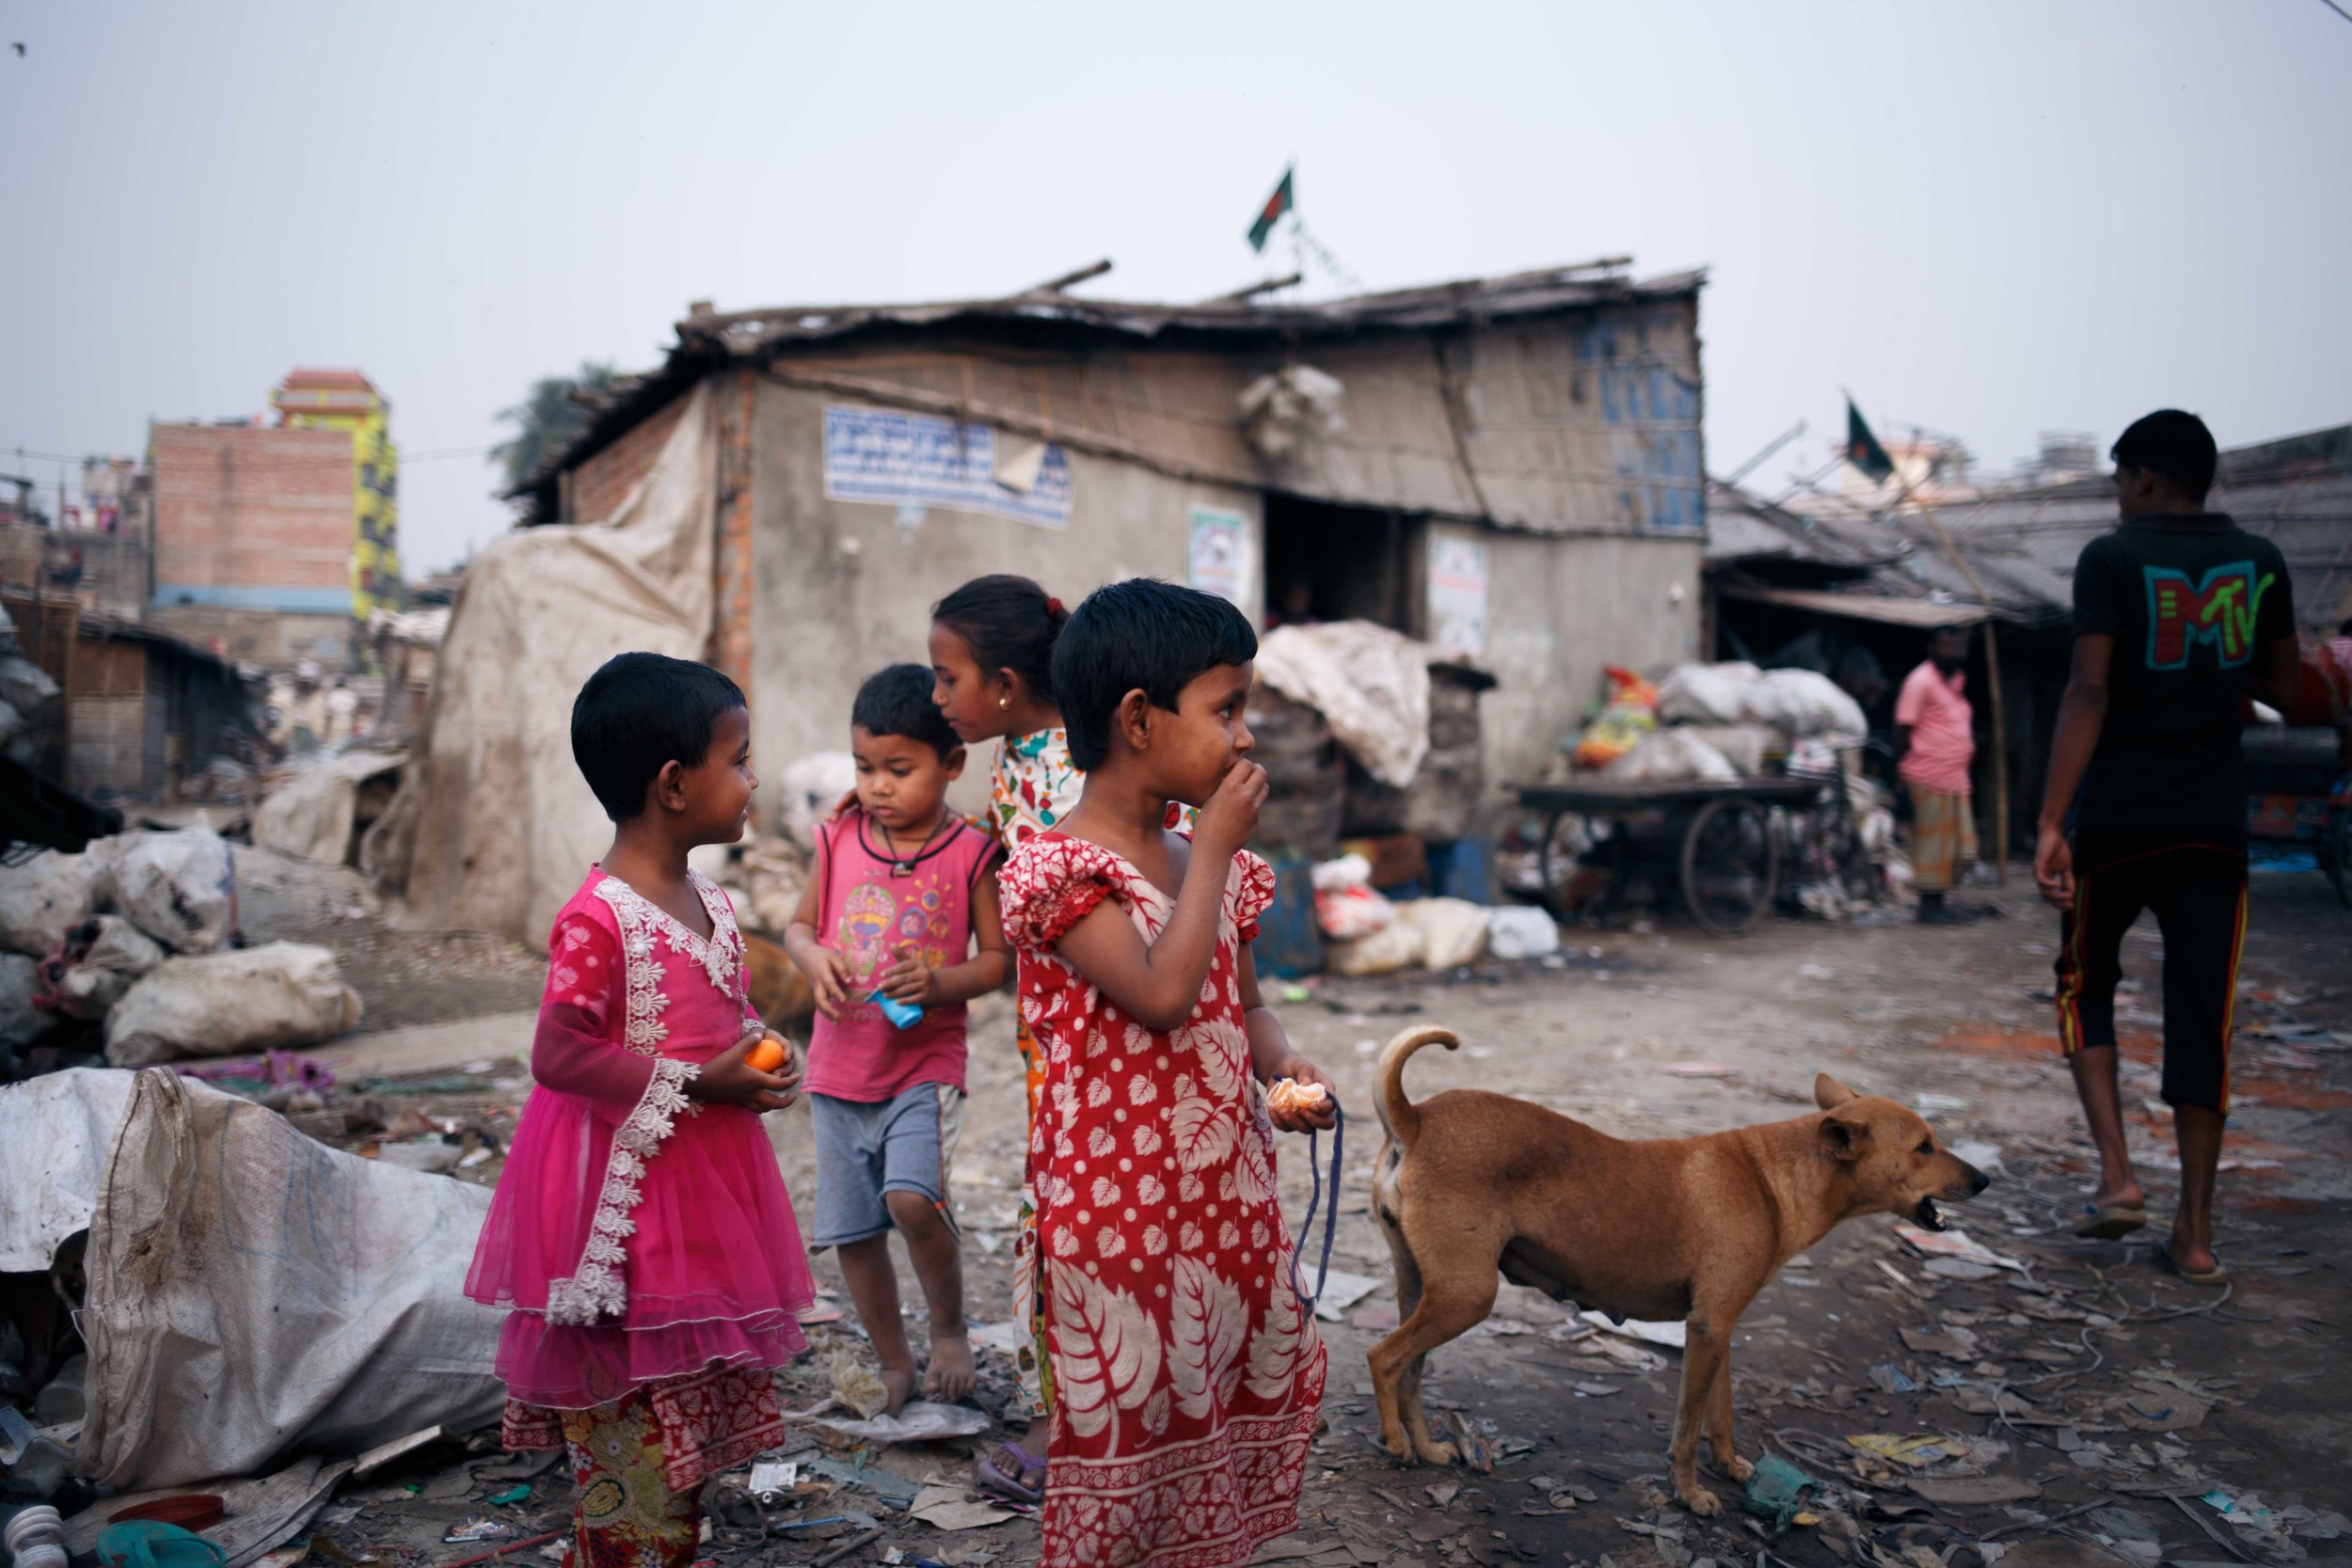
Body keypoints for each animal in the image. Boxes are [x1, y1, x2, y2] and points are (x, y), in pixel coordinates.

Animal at [1364, 1024, 1985, 1513]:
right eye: (1925, 1146)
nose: (1983, 1180)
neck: (1774, 1178)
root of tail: (1416, 1119)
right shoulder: (1707, 1328)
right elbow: (1686, 1427)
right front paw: (1689, 1495)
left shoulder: (1719, 1329)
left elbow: (1721, 1414)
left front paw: (1730, 1466)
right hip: (1467, 1296)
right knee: (1384, 1356)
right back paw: (1395, 1444)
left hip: (1424, 1288)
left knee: (1411, 1370)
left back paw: (1428, 1449)